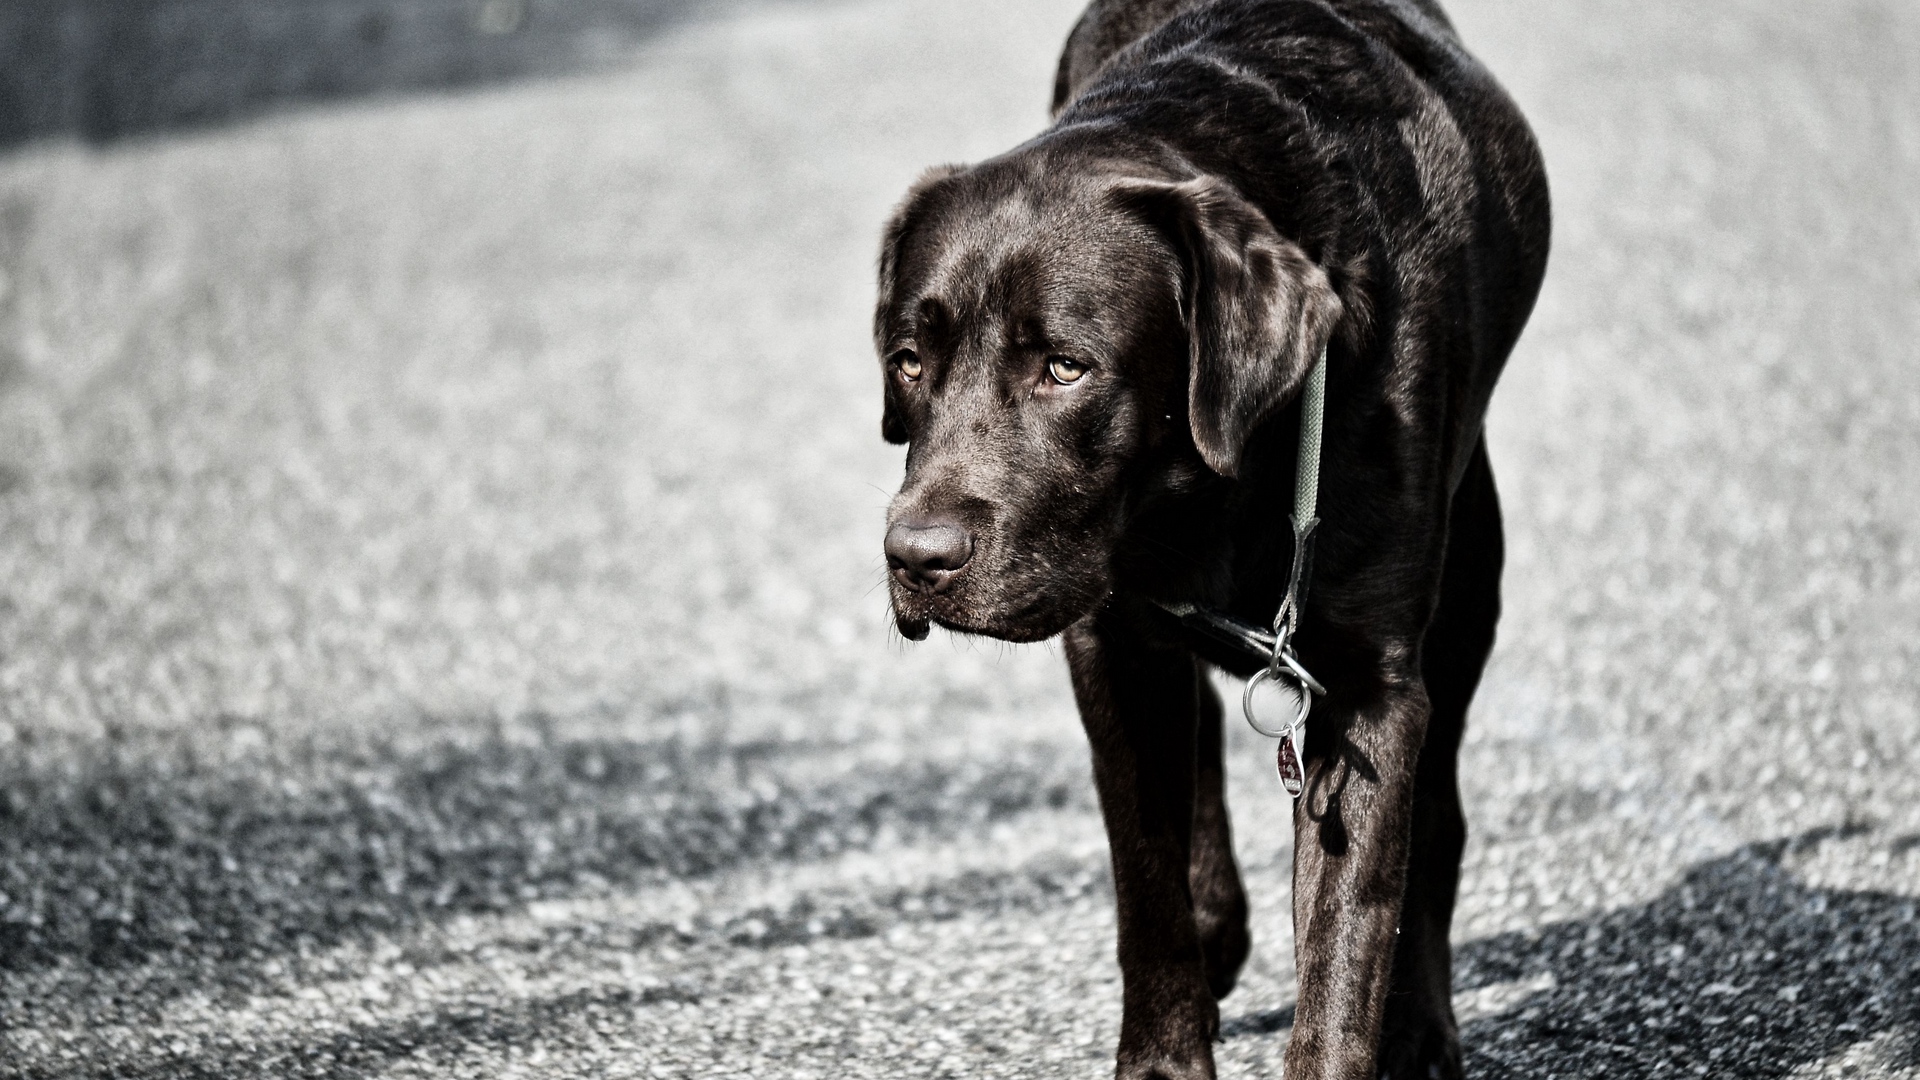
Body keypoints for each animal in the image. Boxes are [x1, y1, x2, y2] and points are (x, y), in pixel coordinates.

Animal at [879, 4, 1551, 1068]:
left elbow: (1347, 940)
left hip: (1468, 578)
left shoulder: (1371, 691)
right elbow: (1146, 880)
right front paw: (1166, 1051)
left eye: (1066, 367)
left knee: (1436, 813)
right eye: (909, 360)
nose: (916, 558)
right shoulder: (1109, 642)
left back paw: (1417, 1024)